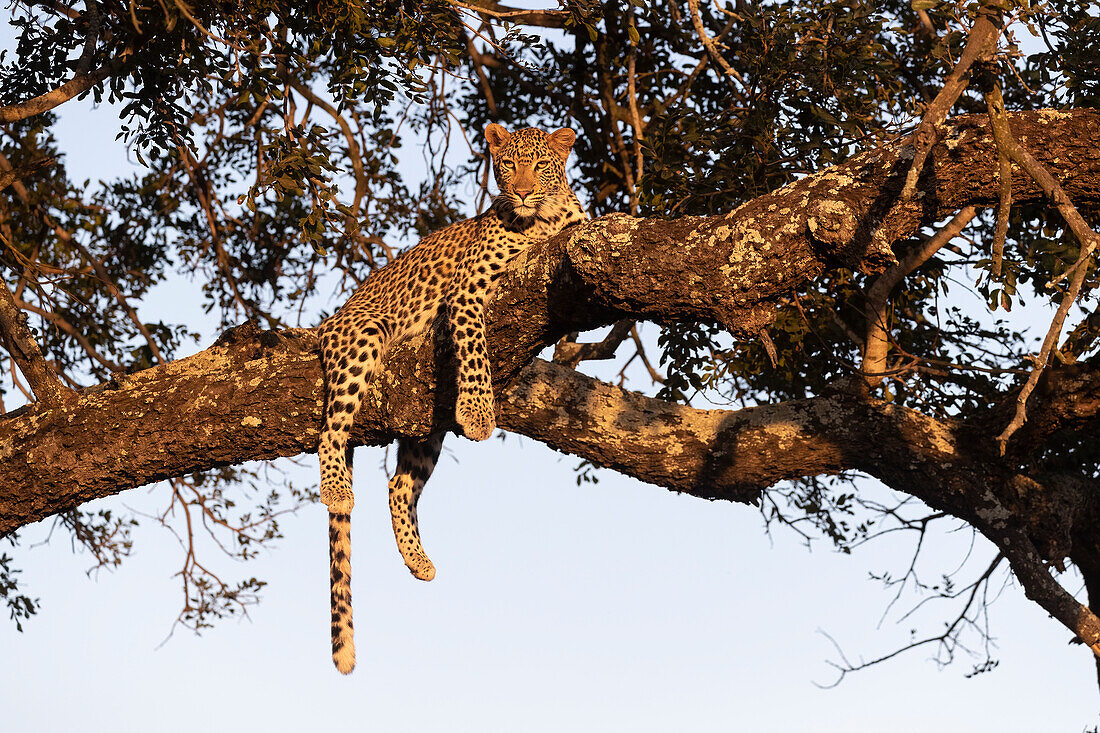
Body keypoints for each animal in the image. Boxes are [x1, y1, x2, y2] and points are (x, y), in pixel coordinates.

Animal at [314, 121, 589, 673]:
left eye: (541, 164)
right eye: (508, 164)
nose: (521, 191)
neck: (544, 218)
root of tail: (331, 321)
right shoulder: (467, 292)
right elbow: (476, 347)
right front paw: (480, 411)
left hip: (424, 424)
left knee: (398, 485)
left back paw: (419, 562)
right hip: (363, 336)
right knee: (331, 432)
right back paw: (336, 487)